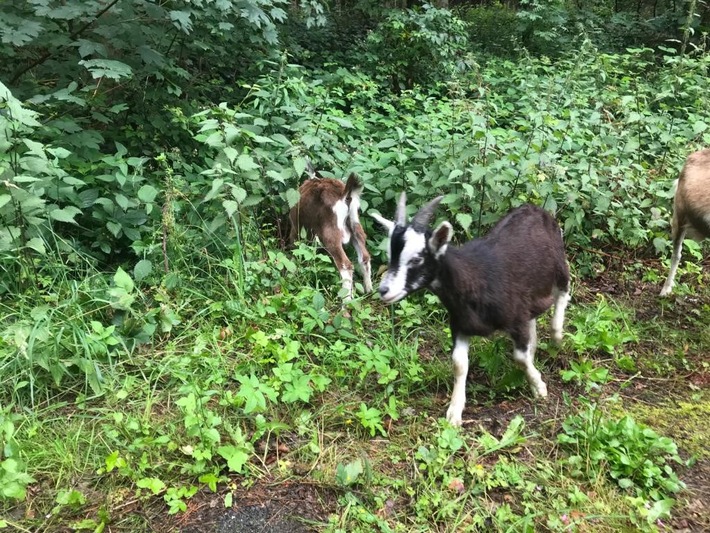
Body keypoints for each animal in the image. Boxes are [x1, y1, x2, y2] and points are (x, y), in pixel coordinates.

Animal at [290, 166, 376, 300]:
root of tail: (346, 196)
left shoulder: (296, 228)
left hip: (331, 234)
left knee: (345, 265)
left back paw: (346, 302)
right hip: (355, 225)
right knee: (364, 256)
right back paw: (368, 290)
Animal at [372, 194, 572, 424]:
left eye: (416, 259)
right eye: (391, 256)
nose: (384, 290)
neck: (475, 279)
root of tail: (535, 208)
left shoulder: (516, 318)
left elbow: (520, 358)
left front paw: (539, 387)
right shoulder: (460, 325)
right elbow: (459, 364)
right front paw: (454, 412)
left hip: (559, 266)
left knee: (563, 293)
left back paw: (557, 336)